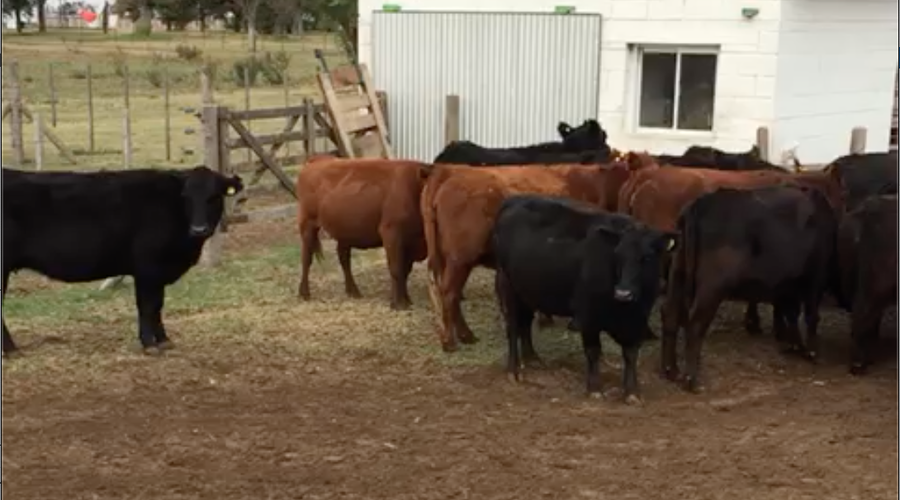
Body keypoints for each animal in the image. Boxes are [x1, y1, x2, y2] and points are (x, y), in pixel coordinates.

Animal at [2, 165, 244, 357]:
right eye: (186, 196)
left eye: (215, 196)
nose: (199, 229)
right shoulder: (147, 268)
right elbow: (148, 306)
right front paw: (149, 344)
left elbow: (158, 305)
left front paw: (164, 340)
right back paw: (11, 350)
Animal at [296, 157, 431, 310]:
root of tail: (319, 159)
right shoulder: (391, 232)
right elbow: (396, 269)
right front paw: (397, 303)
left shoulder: (410, 242)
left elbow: (405, 270)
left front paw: (406, 300)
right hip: (307, 224)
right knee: (306, 259)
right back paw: (304, 293)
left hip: (344, 231)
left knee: (344, 259)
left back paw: (353, 291)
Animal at [421, 155, 654, 352]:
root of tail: (446, 171)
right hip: (460, 259)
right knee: (449, 293)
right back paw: (452, 340)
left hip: (447, 258)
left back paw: (462, 335)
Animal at [492, 195, 677, 403]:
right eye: (617, 255)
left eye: (647, 257)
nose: (623, 293)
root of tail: (515, 199)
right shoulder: (588, 316)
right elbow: (593, 351)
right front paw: (595, 389)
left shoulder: (637, 320)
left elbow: (630, 354)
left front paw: (632, 391)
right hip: (507, 286)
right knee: (513, 327)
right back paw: (513, 371)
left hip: (527, 290)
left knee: (525, 323)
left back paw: (532, 359)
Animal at [660, 185, 838, 393]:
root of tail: (700, 203)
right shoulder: (816, 276)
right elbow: (810, 315)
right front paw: (811, 351)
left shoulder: (788, 284)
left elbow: (791, 313)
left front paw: (794, 344)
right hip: (712, 286)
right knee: (695, 323)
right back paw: (690, 379)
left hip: (677, 273)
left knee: (670, 314)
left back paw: (670, 370)